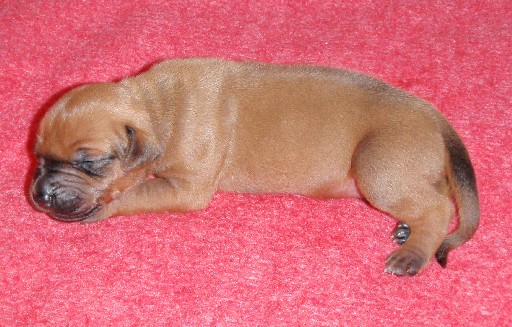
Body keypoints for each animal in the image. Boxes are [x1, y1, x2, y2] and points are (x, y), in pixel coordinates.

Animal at [30, 58, 480, 276]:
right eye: (38, 155)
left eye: (91, 163)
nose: (41, 194)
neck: (158, 106)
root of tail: (436, 119)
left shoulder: (185, 188)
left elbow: (134, 192)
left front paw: (102, 208)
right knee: (436, 195)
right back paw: (407, 229)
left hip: (377, 166)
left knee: (439, 208)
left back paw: (412, 254)